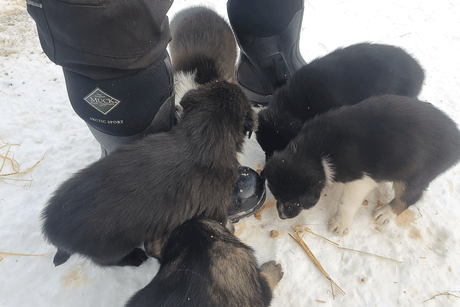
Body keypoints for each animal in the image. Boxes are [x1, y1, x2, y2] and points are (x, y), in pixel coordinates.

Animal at [41, 80, 255, 268]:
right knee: (104, 261)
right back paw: (135, 258)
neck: (204, 137)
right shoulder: (215, 208)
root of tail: (51, 228)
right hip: (111, 247)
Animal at [264, 96, 460, 236]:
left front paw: (339, 224)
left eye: (292, 203)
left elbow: (345, 202)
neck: (315, 152)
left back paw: (386, 212)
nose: (281, 216)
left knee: (410, 196)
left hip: (414, 174)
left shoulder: (360, 180)